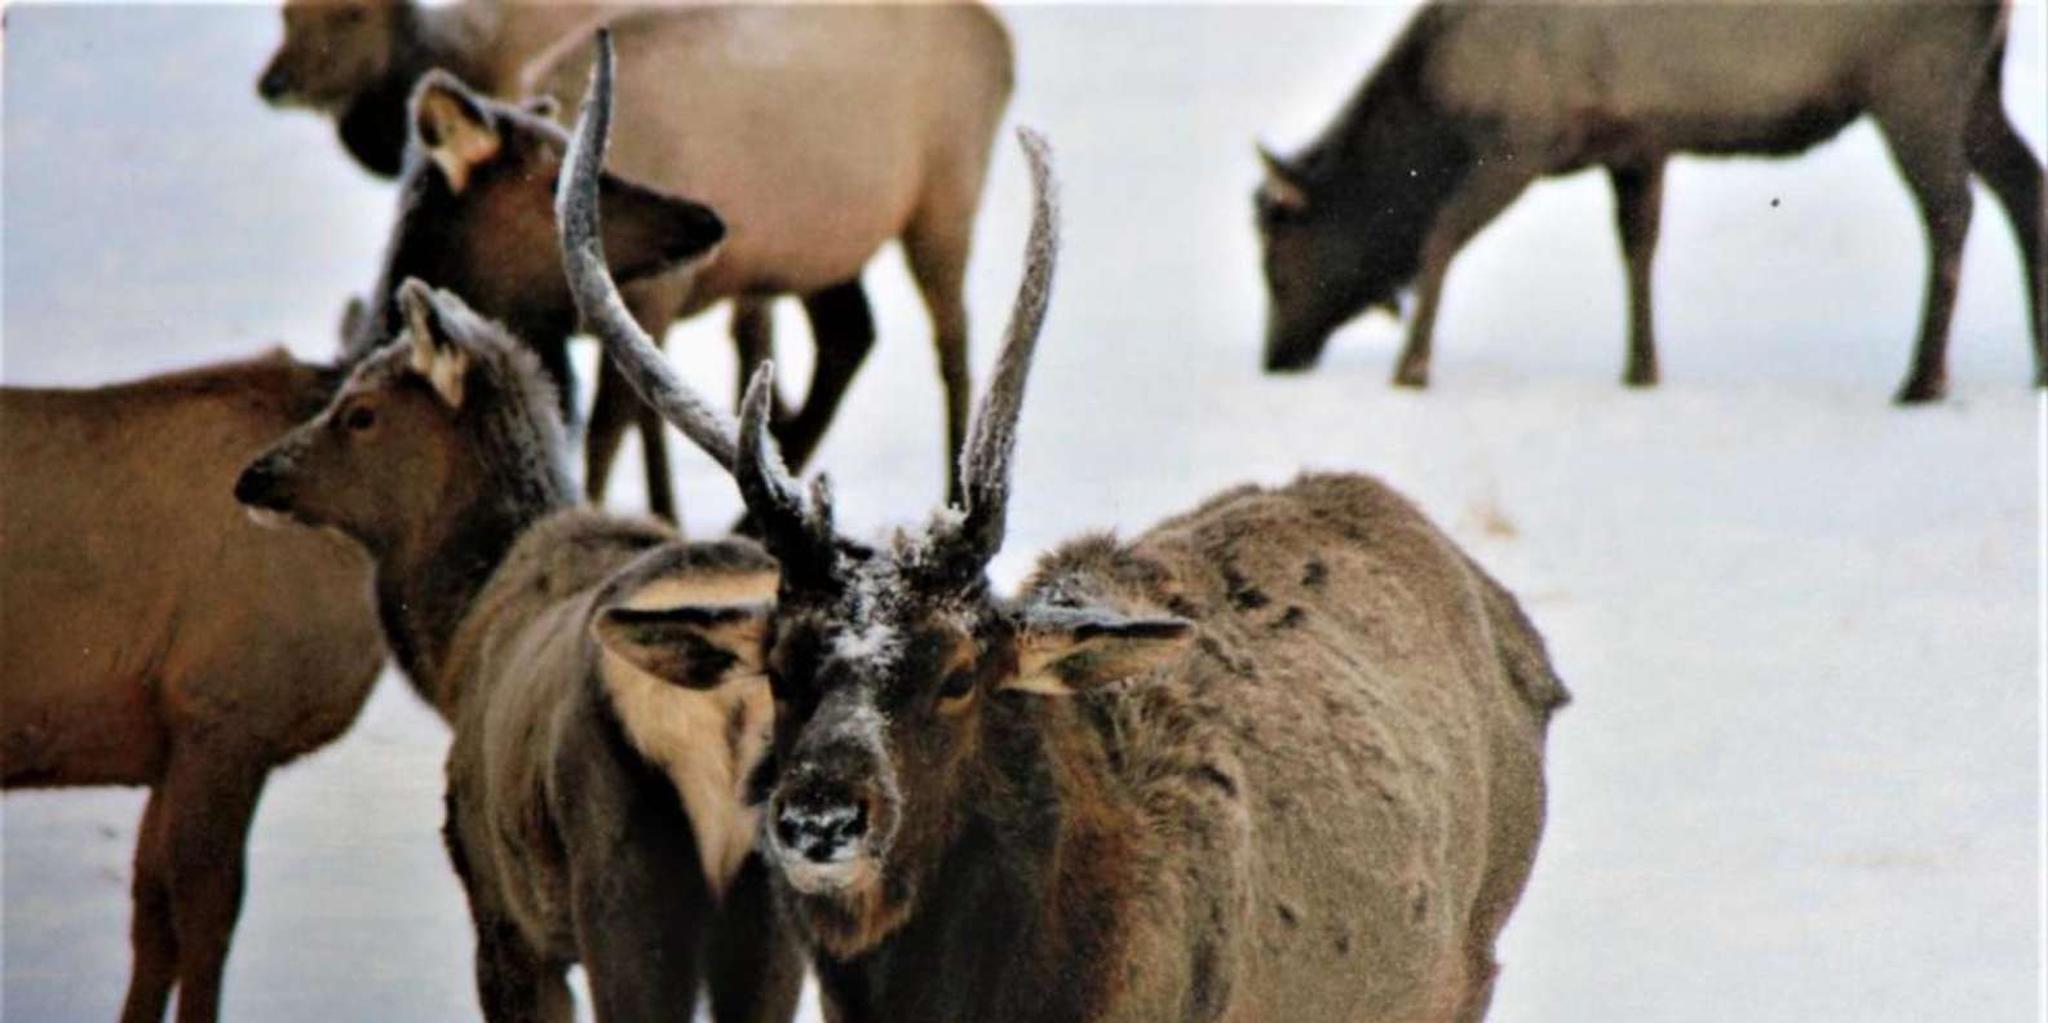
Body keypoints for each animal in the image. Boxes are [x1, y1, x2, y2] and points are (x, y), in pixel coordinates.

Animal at [234, 263, 808, 1019]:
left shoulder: (498, 902)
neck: (450, 655)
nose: (256, 475)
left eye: (360, 411)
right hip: (775, 901)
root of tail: (733, 706)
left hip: (627, 877)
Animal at [345, 2, 1014, 524]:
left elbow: (610, 428)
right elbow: (644, 416)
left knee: (952, 338)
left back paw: (953, 491)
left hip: (946, 194)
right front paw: (664, 514)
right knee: (849, 334)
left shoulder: (656, 291)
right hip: (820, 247)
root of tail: (1001, 39)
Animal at [1254, 0, 2045, 403]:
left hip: (1917, 79)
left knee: (1951, 209)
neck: (1444, 105)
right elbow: (1638, 247)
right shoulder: (1636, 142)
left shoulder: (1525, 136)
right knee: (2025, 185)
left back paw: (1923, 378)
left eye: (1278, 262)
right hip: (1976, 82)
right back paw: (2036, 366)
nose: (1274, 358)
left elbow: (1440, 238)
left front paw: (1411, 369)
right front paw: (1641, 369)